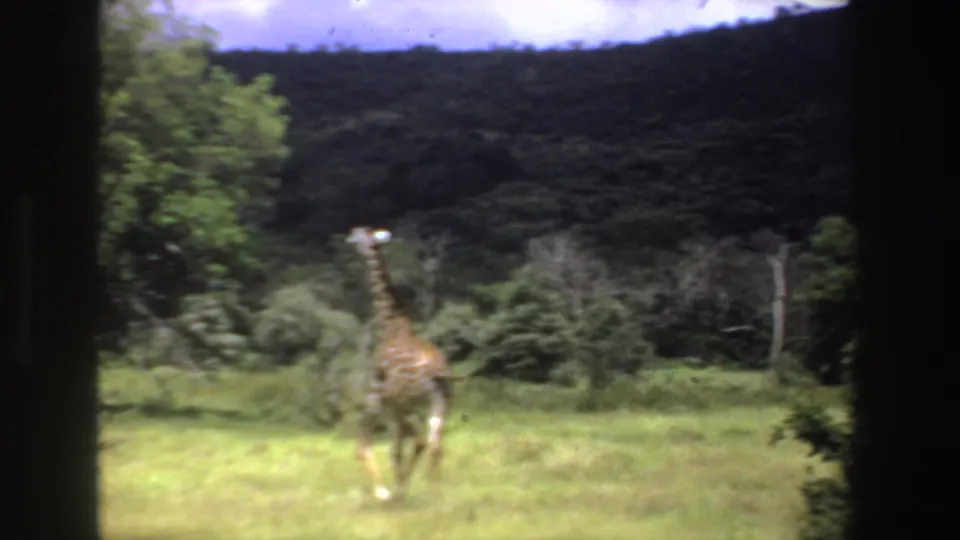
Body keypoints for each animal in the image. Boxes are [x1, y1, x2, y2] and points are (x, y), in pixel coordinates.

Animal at [346, 226, 460, 501]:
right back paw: (433, 489)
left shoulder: (386, 402)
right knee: (435, 442)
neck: (392, 324)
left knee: (408, 440)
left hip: (400, 403)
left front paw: (391, 490)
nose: (348, 236)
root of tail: (436, 372)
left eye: (359, 234)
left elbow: (390, 448)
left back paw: (394, 491)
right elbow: (396, 449)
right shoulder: (395, 409)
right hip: (440, 401)